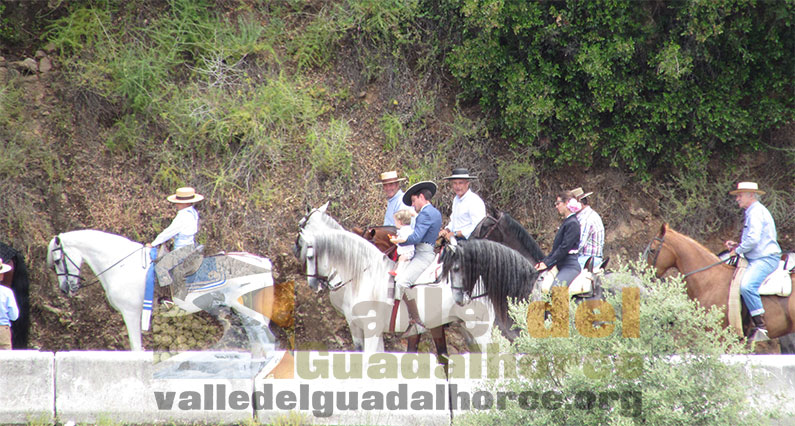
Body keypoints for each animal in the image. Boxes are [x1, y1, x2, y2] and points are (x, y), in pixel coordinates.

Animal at [47, 230, 276, 352]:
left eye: (58, 261)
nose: (65, 289)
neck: (122, 265)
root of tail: (261, 262)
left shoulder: (131, 313)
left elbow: (136, 347)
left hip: (249, 311)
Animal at [296, 203, 494, 352]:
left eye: (301, 225)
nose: (312, 283)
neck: (362, 275)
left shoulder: (372, 329)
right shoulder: (357, 327)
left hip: (480, 331)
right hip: (466, 329)